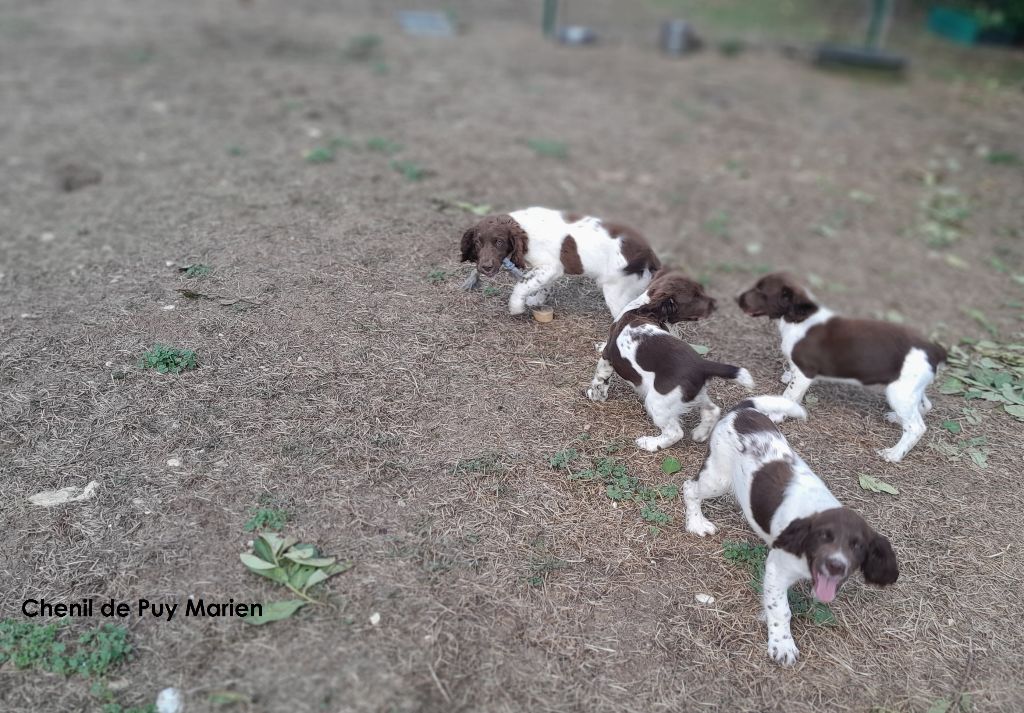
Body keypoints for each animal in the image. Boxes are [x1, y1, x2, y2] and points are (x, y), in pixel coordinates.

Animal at [458, 205, 663, 317]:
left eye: (499, 242)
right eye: (477, 243)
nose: (485, 267)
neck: (523, 229)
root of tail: (650, 254)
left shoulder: (550, 267)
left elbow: (523, 283)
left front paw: (516, 306)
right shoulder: (547, 271)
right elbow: (540, 285)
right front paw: (536, 300)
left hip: (617, 291)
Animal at [585, 266, 753, 450]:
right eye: (696, 296)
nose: (716, 305)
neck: (642, 307)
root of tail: (702, 364)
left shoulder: (607, 356)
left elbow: (600, 378)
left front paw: (595, 396)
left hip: (658, 401)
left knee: (675, 433)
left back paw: (649, 443)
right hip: (691, 394)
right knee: (712, 410)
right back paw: (700, 434)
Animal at [684, 397, 901, 663]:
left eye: (857, 546)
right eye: (823, 537)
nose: (836, 566)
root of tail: (742, 410)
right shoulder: (776, 571)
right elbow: (782, 610)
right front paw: (782, 645)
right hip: (718, 478)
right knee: (689, 488)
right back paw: (696, 523)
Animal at [737, 272, 942, 463]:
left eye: (761, 291)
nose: (736, 299)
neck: (798, 320)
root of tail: (933, 350)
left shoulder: (805, 372)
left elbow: (789, 395)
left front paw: (776, 415)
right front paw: (787, 377)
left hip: (899, 392)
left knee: (916, 427)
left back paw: (894, 454)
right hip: (911, 388)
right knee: (924, 406)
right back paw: (896, 418)